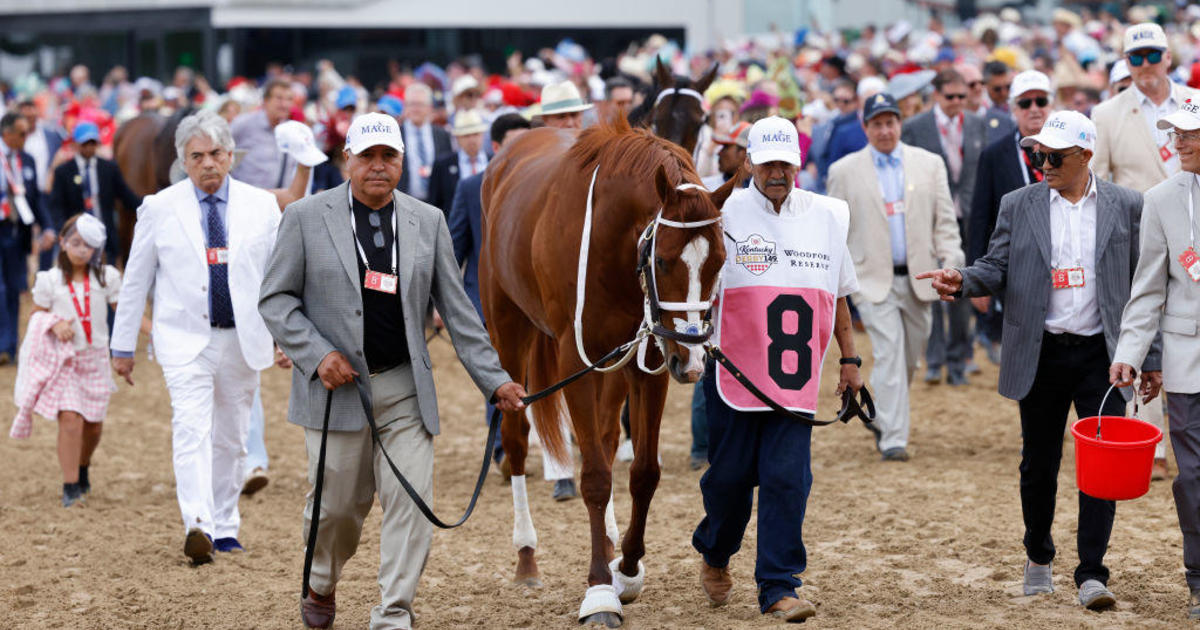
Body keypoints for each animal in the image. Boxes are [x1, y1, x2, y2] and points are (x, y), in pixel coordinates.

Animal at [480, 117, 739, 624]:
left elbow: (643, 471)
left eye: (719, 261)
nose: (693, 360)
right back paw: (526, 557)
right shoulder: (573, 361)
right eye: (663, 260)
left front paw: (628, 568)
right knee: (517, 439)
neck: (611, 241)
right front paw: (600, 589)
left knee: (601, 435)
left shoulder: (651, 358)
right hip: (509, 331)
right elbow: (596, 478)